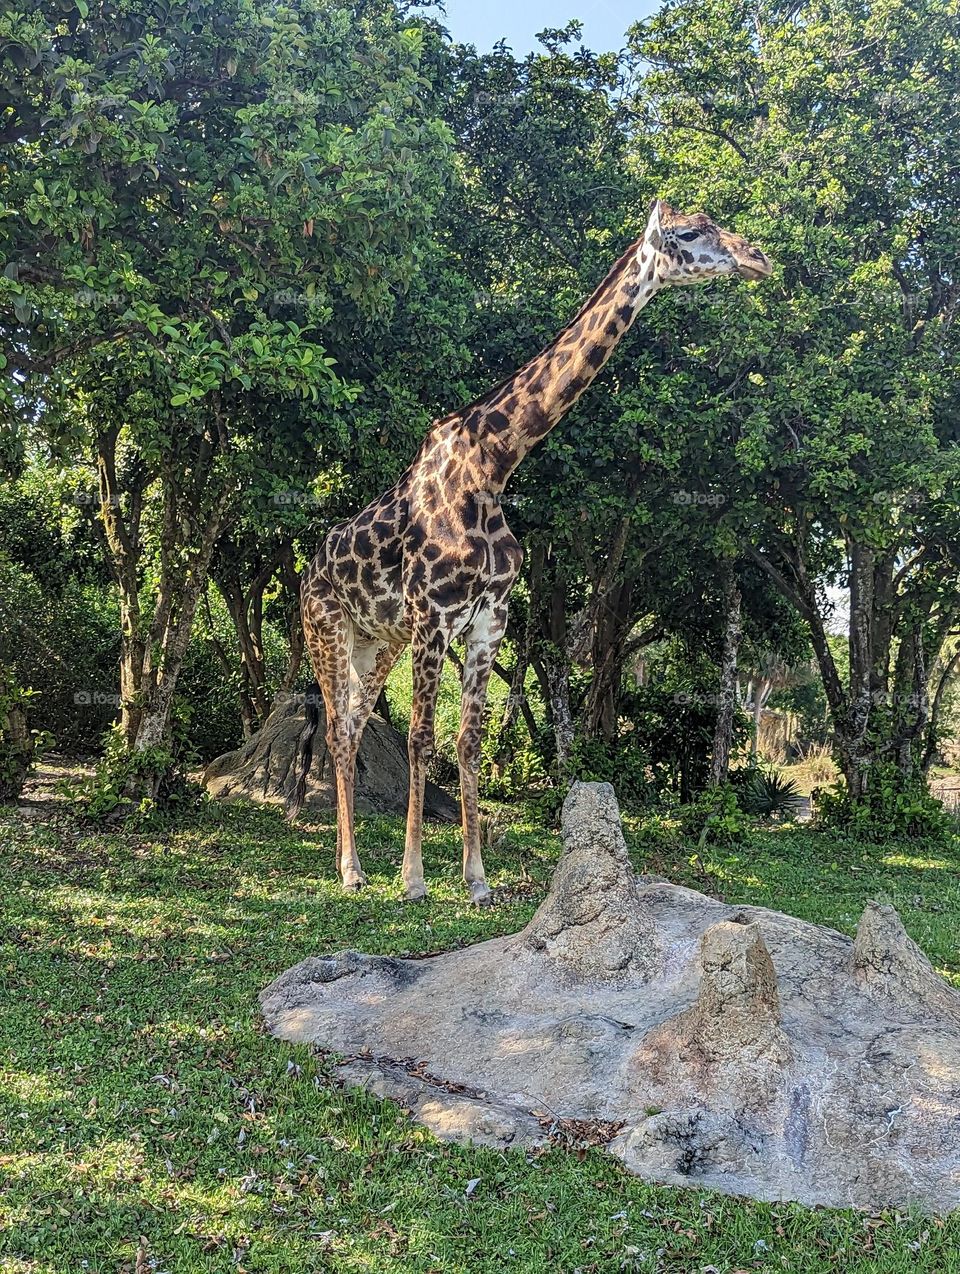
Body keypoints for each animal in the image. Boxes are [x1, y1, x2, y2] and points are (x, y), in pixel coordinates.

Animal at [287, 199, 772, 903]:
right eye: (688, 233)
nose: (757, 258)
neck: (493, 466)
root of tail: (306, 575)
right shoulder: (434, 615)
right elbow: (423, 737)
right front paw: (414, 879)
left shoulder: (489, 618)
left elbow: (468, 740)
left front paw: (475, 879)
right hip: (327, 630)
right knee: (336, 725)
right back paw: (349, 869)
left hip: (379, 641)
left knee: (350, 728)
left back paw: (353, 865)